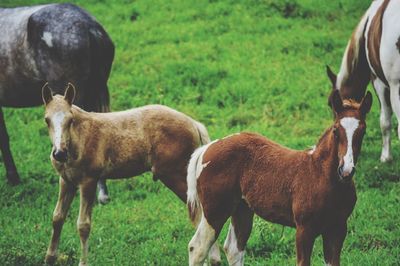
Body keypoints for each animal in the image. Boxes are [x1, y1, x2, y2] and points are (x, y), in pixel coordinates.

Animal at [42, 84, 222, 266]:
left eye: (70, 120)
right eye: (47, 120)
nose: (59, 154)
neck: (80, 137)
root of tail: (194, 123)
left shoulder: (88, 181)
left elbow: (83, 225)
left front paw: (83, 263)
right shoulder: (66, 181)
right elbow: (57, 218)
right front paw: (49, 258)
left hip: (175, 176)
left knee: (202, 215)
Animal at [187, 90, 372, 266]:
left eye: (362, 131)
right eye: (335, 130)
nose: (346, 171)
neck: (321, 175)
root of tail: (207, 148)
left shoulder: (337, 229)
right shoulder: (304, 230)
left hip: (242, 208)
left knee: (233, 249)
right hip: (215, 210)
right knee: (198, 248)